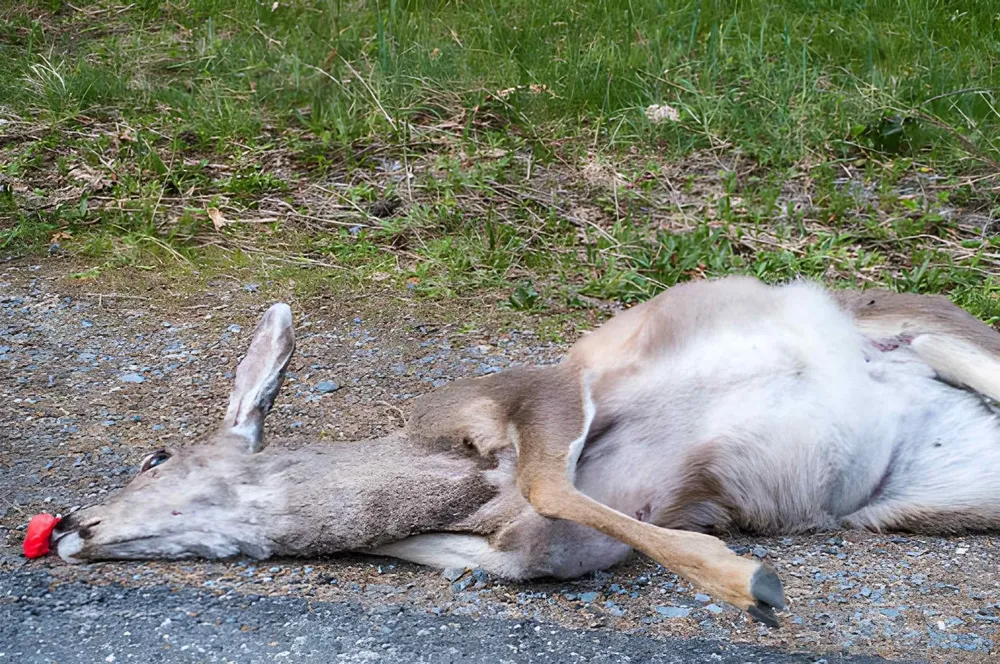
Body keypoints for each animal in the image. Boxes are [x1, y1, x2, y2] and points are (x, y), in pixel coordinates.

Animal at [46, 276, 1000, 627]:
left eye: (154, 455)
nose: (65, 525)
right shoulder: (565, 542)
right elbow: (498, 553)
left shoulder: (538, 388)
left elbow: (546, 482)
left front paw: (751, 584)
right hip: (945, 492)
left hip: (936, 340)